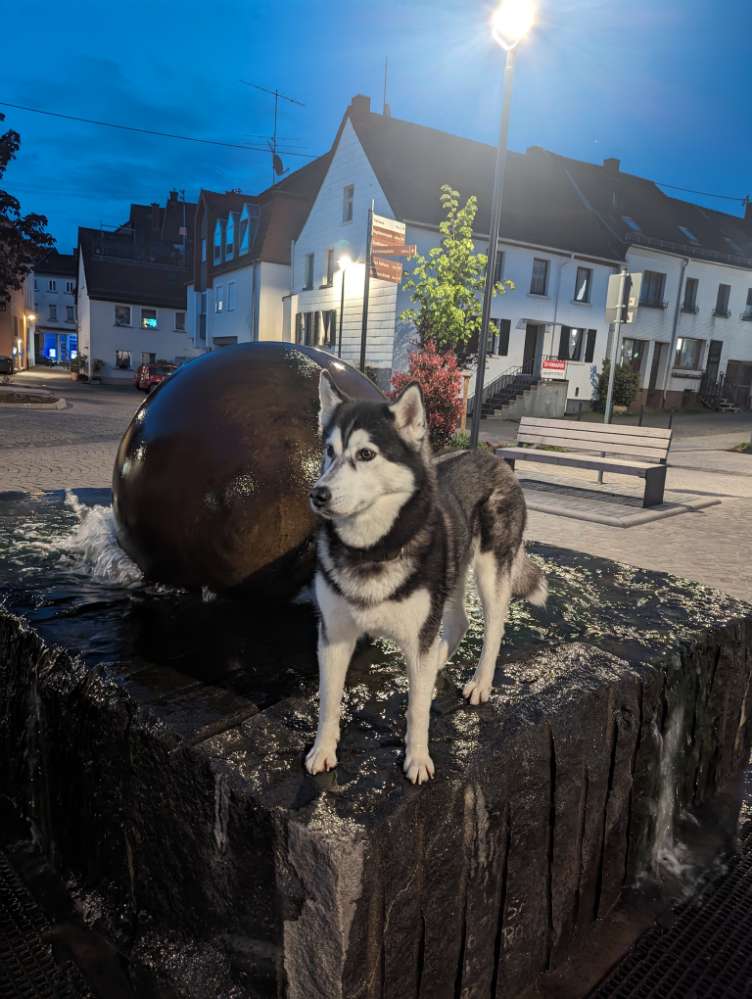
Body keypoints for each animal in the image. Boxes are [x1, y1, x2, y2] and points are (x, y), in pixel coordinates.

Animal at [306, 372, 548, 784]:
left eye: (366, 454)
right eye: (329, 451)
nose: (318, 494)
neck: (372, 548)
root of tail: (491, 455)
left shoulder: (418, 633)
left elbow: (417, 711)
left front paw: (417, 758)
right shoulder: (333, 635)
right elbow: (328, 701)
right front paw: (323, 749)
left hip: (489, 573)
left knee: (493, 629)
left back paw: (479, 682)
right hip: (450, 576)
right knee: (459, 622)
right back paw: (436, 665)